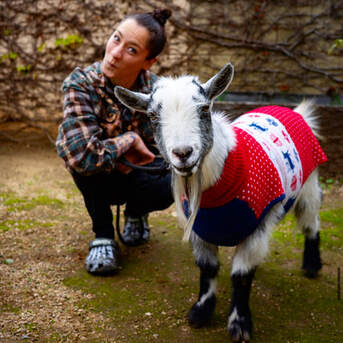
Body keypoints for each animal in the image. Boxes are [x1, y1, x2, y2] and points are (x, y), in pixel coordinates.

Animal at [115, 63, 328, 342]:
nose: (183, 153)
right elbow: (208, 268)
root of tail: (292, 111)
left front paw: (240, 324)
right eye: (151, 115)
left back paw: (312, 265)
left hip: (309, 184)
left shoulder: (258, 225)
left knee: (311, 222)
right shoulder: (200, 229)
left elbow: (241, 276)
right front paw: (201, 312)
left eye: (205, 108)